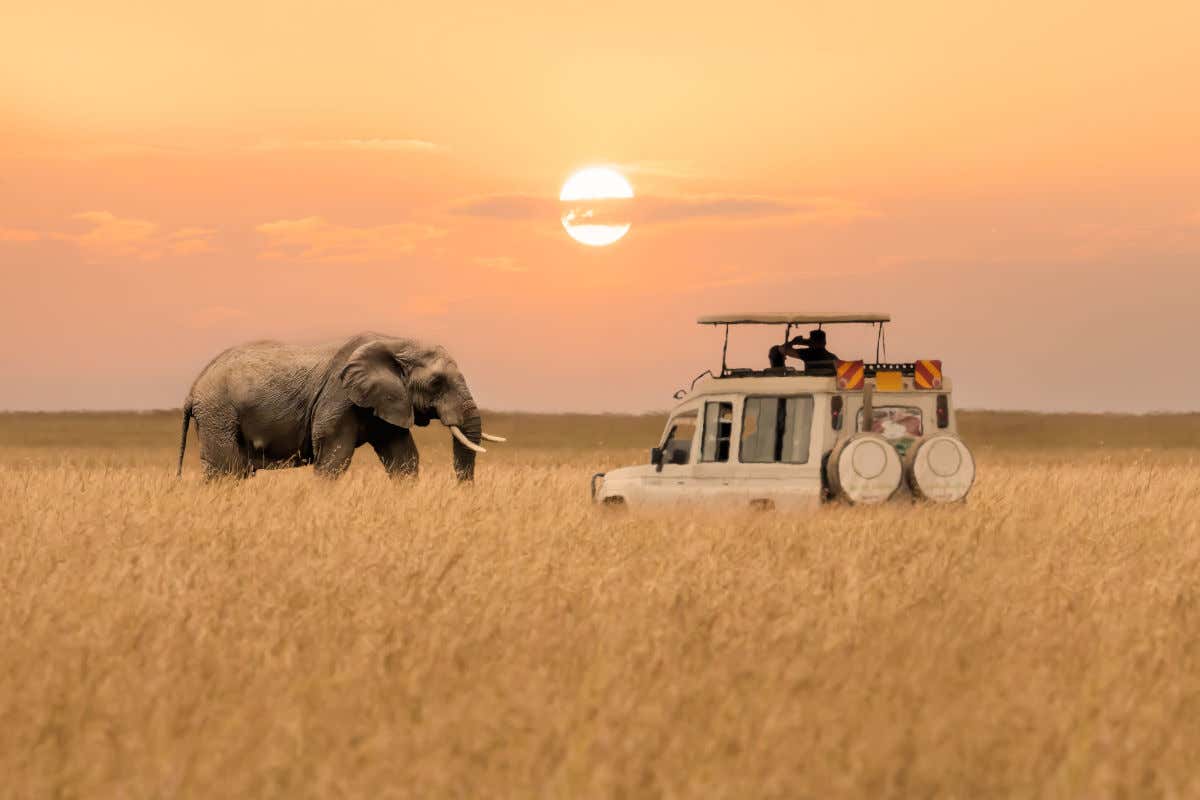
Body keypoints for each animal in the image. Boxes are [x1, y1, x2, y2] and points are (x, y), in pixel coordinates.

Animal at [175, 333, 504, 482]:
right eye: (437, 382)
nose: (464, 493)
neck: (395, 343)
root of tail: (193, 388)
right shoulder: (338, 400)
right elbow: (334, 459)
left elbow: (404, 459)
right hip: (219, 413)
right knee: (226, 472)